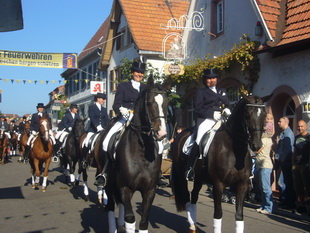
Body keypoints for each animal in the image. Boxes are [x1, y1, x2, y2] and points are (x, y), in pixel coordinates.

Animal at [103, 75, 172, 233]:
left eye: (166, 103)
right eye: (150, 102)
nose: (162, 134)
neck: (142, 151)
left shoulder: (149, 190)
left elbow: (143, 222)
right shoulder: (125, 187)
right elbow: (130, 218)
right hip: (109, 183)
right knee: (110, 206)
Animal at [171, 94, 270, 233]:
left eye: (265, 115)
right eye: (247, 115)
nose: (256, 145)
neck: (234, 151)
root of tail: (180, 135)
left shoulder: (242, 185)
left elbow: (239, 216)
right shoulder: (218, 184)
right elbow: (218, 214)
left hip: (199, 178)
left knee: (194, 196)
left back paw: (194, 225)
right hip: (182, 175)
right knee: (186, 197)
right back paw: (191, 226)